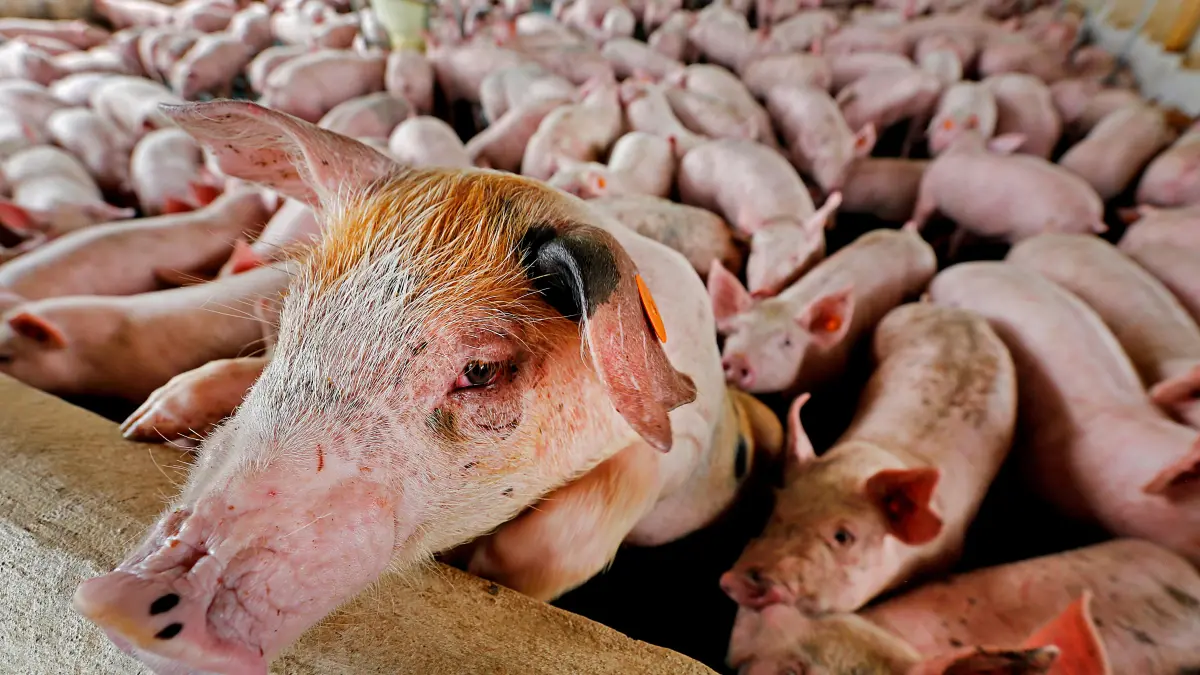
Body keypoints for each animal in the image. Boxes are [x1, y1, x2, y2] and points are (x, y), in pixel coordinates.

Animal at [907, 131, 1106, 241]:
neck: (968, 147)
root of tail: (1091, 215)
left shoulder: (929, 185)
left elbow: (922, 211)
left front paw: (911, 226)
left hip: (1032, 230)